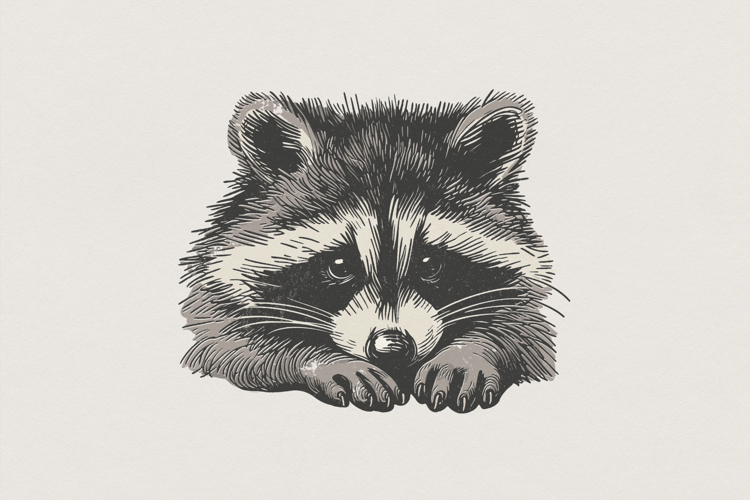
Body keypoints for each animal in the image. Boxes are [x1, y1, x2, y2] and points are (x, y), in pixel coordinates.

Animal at [180, 92, 558, 413]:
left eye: (429, 264)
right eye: (339, 265)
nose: (391, 348)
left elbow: (523, 327)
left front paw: (466, 354)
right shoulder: (217, 294)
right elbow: (228, 342)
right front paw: (326, 361)